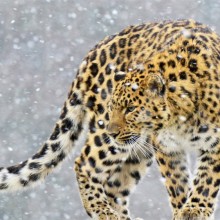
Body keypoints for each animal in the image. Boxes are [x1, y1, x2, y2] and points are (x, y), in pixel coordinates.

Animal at [0, 19, 220, 220]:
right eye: (113, 107)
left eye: (130, 109)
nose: (112, 132)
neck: (181, 116)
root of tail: (94, 51)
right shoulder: (167, 148)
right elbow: (177, 182)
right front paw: (185, 208)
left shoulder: (214, 145)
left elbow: (207, 180)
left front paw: (194, 210)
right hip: (108, 139)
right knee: (84, 163)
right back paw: (103, 211)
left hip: (137, 149)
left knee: (115, 187)